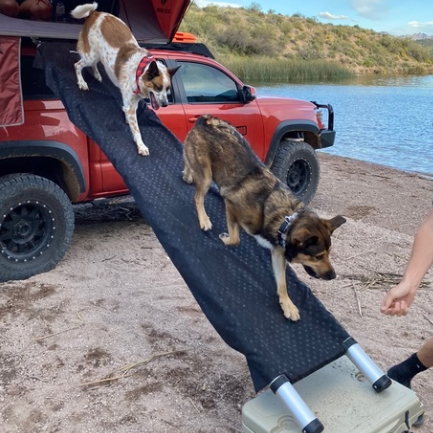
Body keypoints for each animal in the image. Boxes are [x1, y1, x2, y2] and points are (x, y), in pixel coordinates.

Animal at [71, 2, 179, 155]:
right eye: (158, 87)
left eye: (168, 89)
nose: (165, 104)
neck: (139, 70)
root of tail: (95, 13)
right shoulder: (130, 104)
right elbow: (136, 129)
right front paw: (141, 145)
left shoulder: (133, 101)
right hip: (91, 55)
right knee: (77, 65)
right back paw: (82, 82)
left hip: (98, 55)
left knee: (93, 64)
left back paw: (97, 74)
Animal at [181, 115, 344, 320]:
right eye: (318, 256)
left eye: (329, 253)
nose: (333, 275)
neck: (285, 219)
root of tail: (206, 121)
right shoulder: (230, 205)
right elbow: (235, 239)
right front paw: (225, 238)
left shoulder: (278, 253)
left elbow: (282, 283)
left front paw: (287, 304)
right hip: (206, 177)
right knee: (198, 197)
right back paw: (204, 219)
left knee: (187, 164)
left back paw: (187, 174)